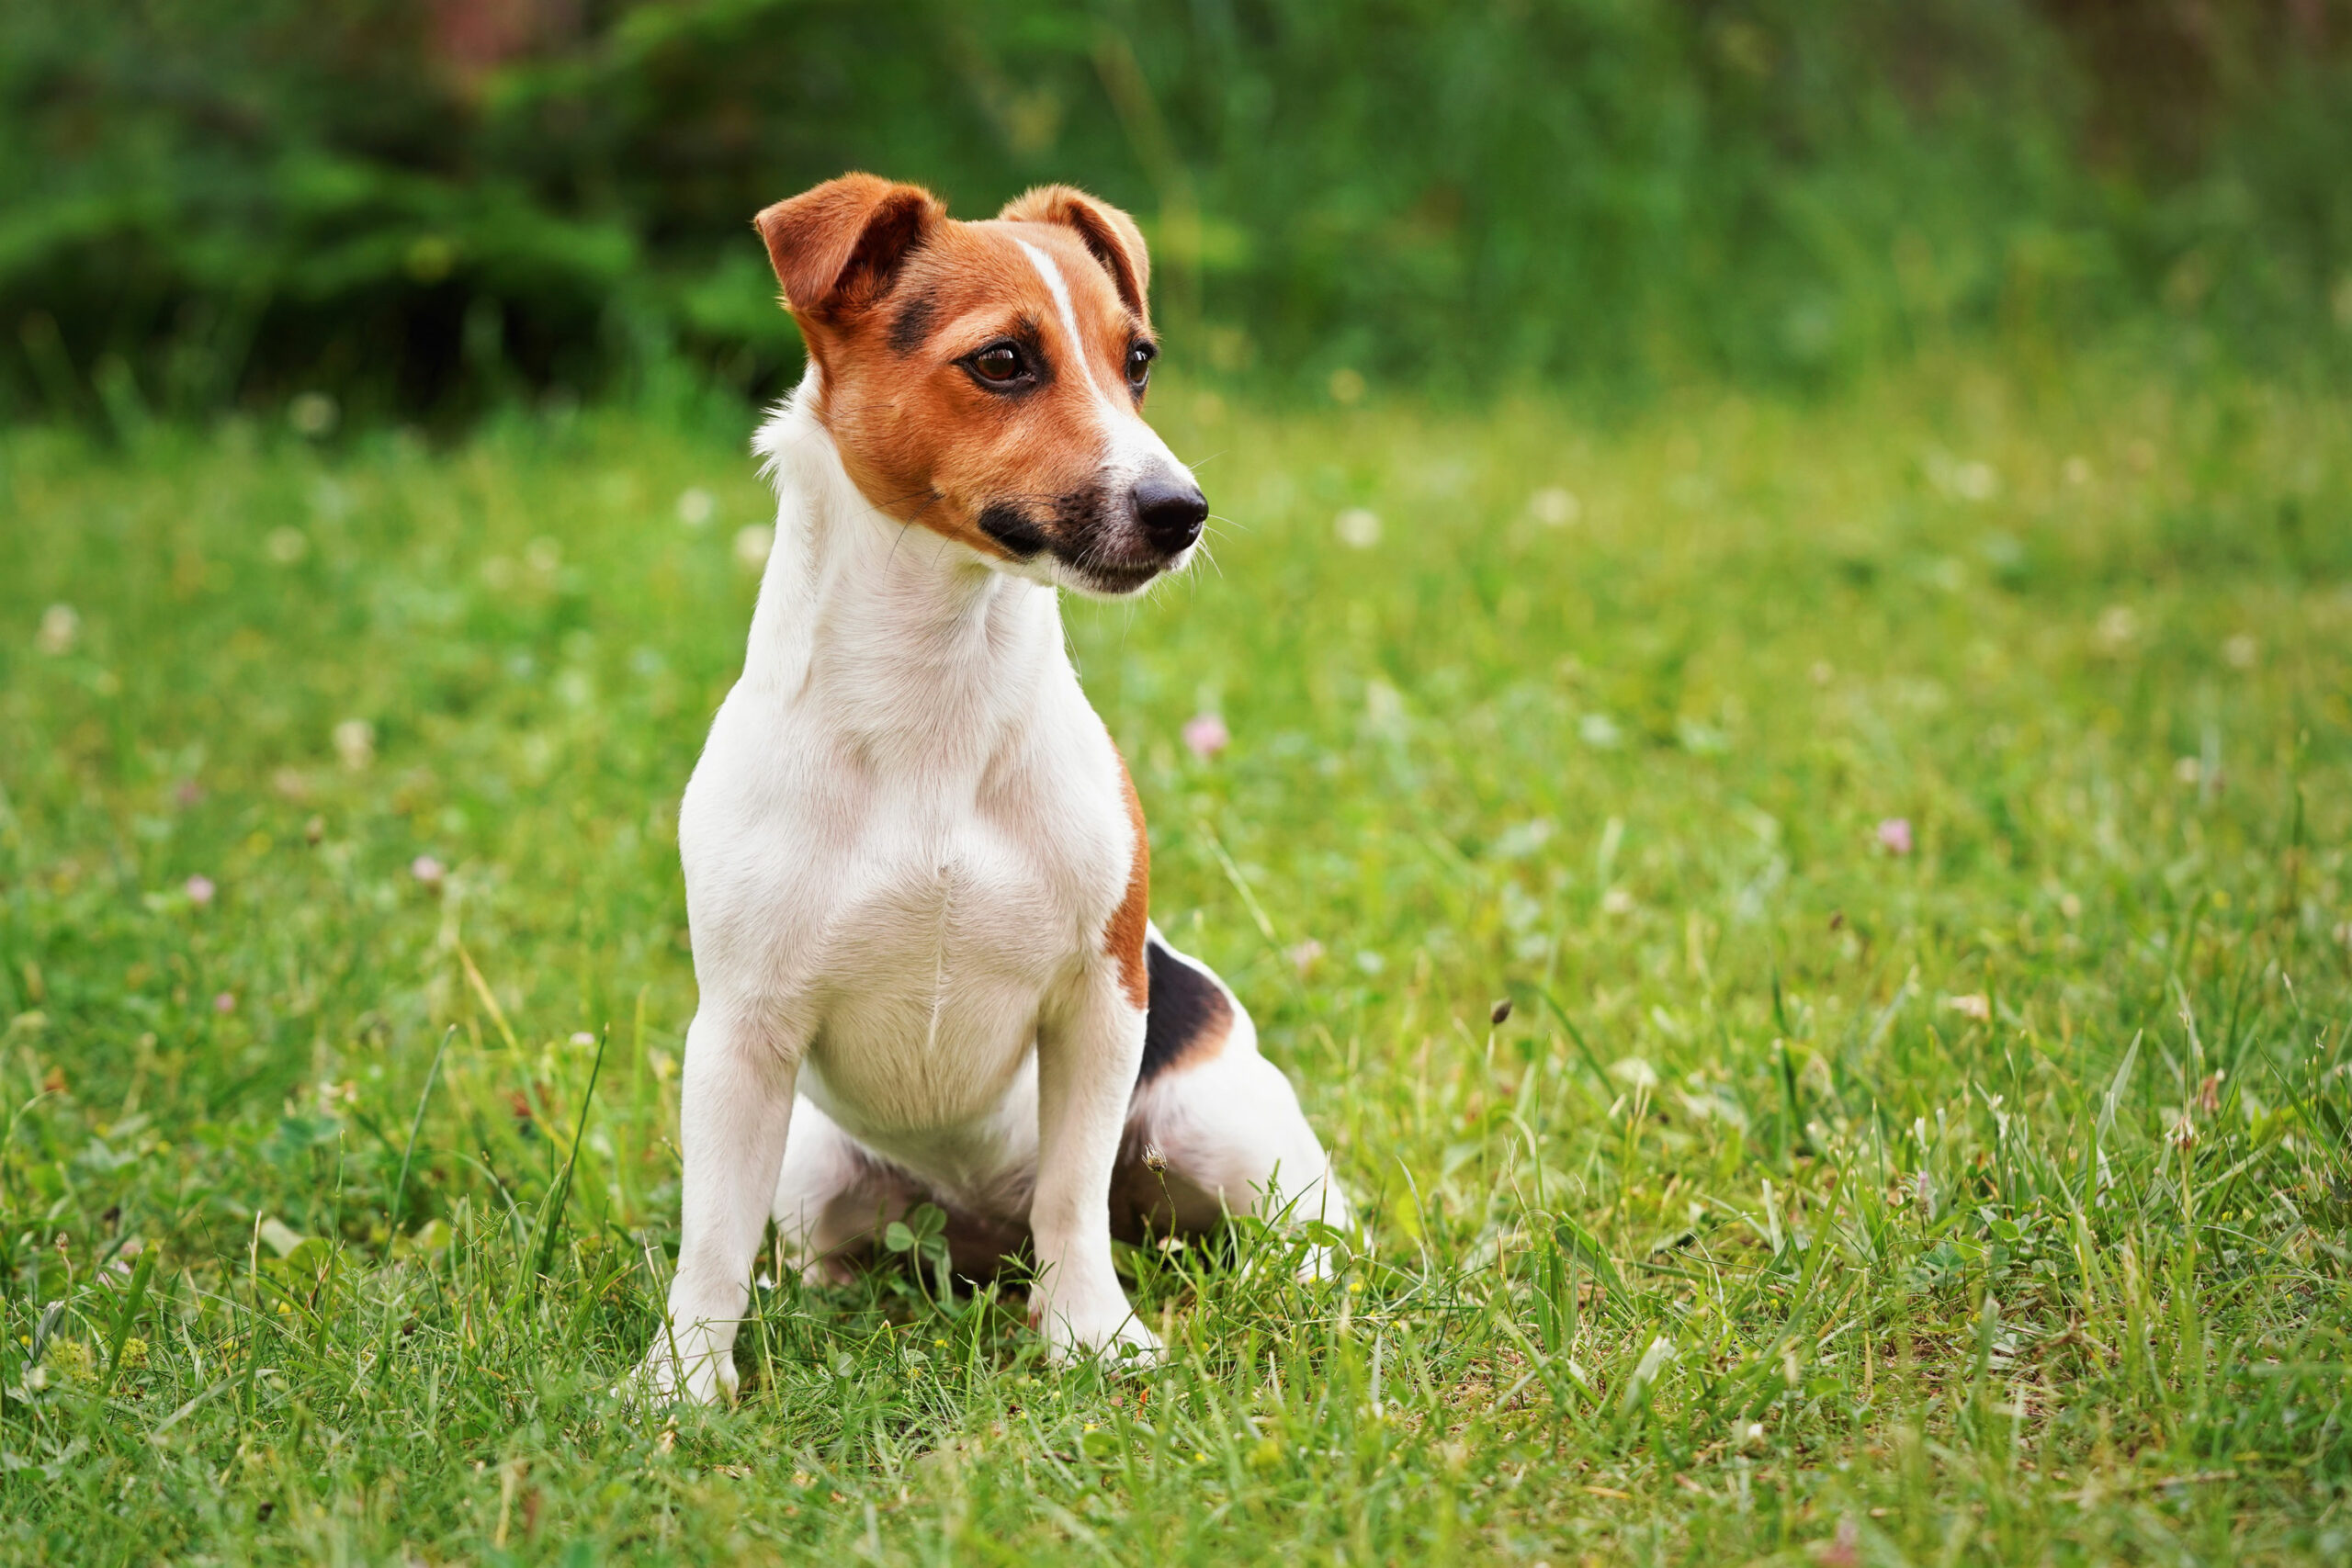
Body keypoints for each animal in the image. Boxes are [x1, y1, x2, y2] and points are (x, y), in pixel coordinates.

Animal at [635, 177, 1354, 1401]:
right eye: (1005, 361)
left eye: (1138, 361)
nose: (1182, 509)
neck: (940, 688)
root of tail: (976, 1231)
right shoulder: (740, 1036)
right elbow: (711, 1241)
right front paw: (681, 1383)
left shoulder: (1100, 1003)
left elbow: (1072, 1199)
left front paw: (1090, 1336)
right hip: (816, 1164)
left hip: (1216, 1118)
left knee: (1301, 1219)